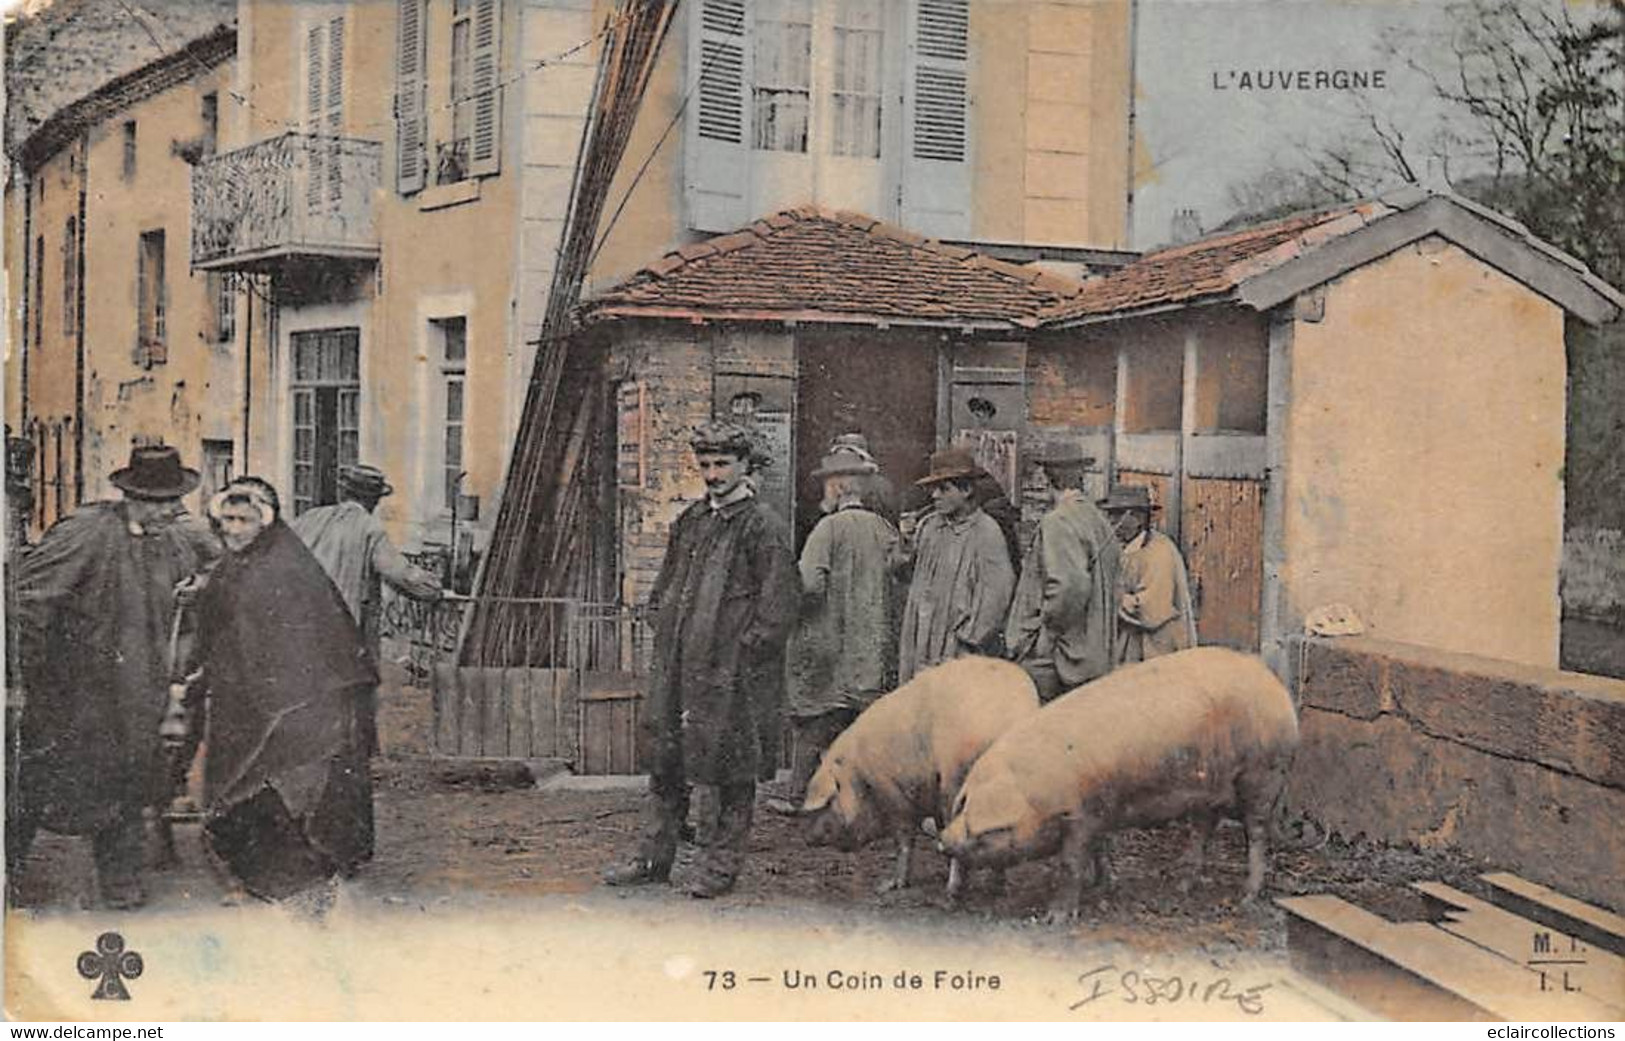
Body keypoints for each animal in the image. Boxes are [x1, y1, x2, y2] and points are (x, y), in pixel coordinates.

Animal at [799, 656, 1040, 896]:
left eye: (828, 801)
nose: (807, 838)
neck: (859, 775)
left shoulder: (894, 795)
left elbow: (904, 840)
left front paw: (888, 886)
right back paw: (993, 888)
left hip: (955, 780)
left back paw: (953, 891)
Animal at [942, 646, 1293, 922]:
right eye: (963, 805)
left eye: (989, 831)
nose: (943, 840)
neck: (1036, 796)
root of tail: (1271, 681)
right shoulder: (1098, 811)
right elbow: (1099, 848)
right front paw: (1104, 883)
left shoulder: (1079, 816)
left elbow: (1070, 864)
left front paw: (1056, 918)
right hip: (1209, 787)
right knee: (1203, 829)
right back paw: (1182, 886)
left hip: (1263, 774)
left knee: (1257, 833)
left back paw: (1246, 897)